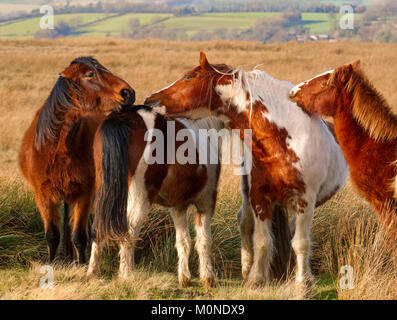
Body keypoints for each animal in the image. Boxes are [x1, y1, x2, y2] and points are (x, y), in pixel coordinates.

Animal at [19, 56, 135, 264]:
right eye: (90, 74)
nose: (128, 93)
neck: (56, 147)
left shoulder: (84, 194)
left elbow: (79, 236)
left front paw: (81, 265)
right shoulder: (43, 197)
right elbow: (52, 235)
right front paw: (52, 263)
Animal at [86, 105, 223, 288]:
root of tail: (120, 118)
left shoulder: (178, 207)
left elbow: (183, 241)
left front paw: (185, 278)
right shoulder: (205, 204)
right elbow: (204, 241)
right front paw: (208, 278)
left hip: (105, 193)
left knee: (98, 228)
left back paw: (93, 273)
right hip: (140, 197)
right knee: (129, 231)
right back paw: (127, 276)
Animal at [145, 51, 346, 292]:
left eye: (188, 77)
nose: (150, 100)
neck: (285, 138)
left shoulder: (304, 200)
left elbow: (301, 243)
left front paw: (304, 284)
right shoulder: (259, 197)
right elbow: (262, 240)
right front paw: (256, 279)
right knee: (246, 222)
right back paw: (248, 268)